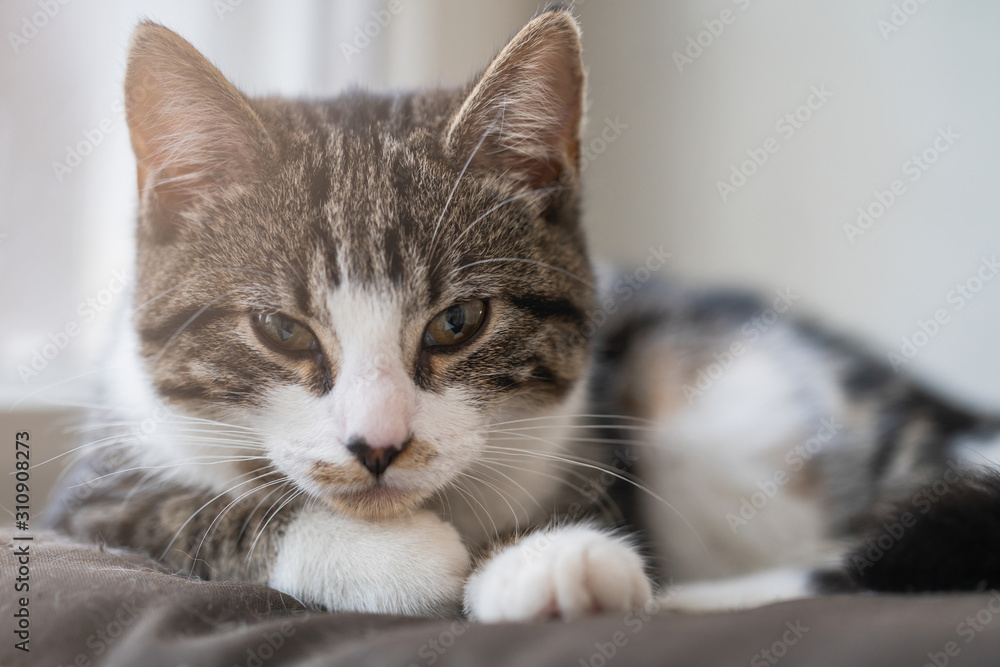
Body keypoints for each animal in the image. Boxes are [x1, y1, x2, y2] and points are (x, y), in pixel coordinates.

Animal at [48, 5, 1000, 624]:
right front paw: (394, 556)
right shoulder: (94, 485)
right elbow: (182, 512)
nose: (379, 444)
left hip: (734, 395)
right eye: (281, 330)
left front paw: (552, 556)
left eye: (458, 321)